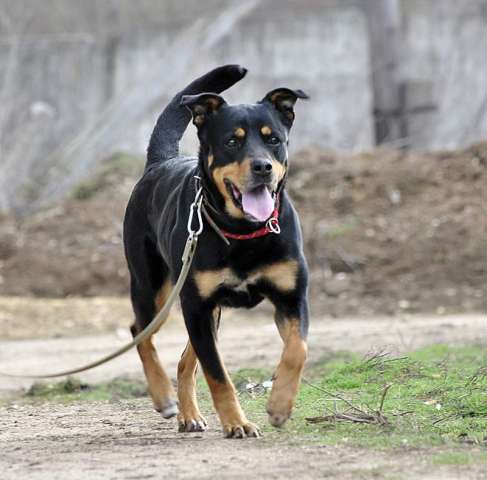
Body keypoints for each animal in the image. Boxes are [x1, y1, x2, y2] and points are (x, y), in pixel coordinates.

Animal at [124, 64, 310, 438]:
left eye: (273, 139)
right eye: (232, 141)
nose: (263, 167)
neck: (245, 232)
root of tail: (159, 163)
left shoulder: (291, 297)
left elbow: (298, 349)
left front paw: (280, 405)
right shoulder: (196, 306)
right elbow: (218, 375)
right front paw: (237, 422)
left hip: (210, 312)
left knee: (185, 360)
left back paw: (188, 414)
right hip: (156, 290)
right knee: (140, 331)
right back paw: (163, 396)